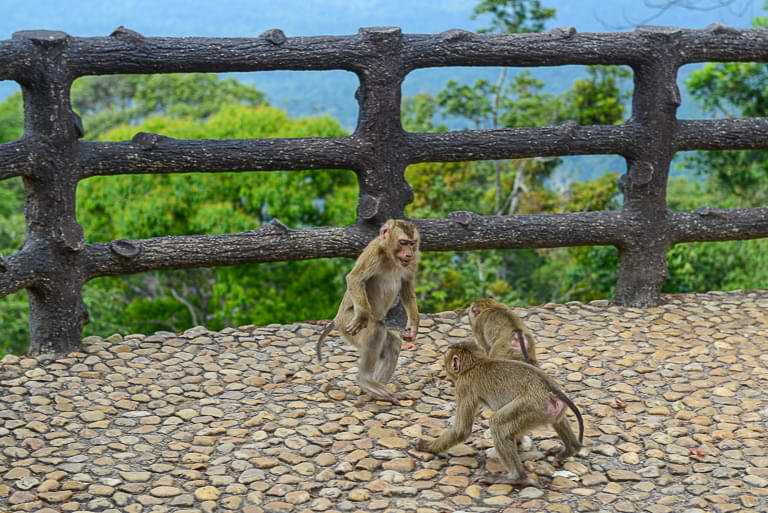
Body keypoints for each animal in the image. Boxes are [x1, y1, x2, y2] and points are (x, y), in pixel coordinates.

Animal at [315, 219, 420, 404]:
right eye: (403, 242)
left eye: (412, 243)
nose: (408, 253)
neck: (391, 257)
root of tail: (337, 319)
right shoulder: (373, 252)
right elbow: (355, 279)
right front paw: (363, 316)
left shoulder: (411, 262)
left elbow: (407, 287)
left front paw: (413, 324)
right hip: (346, 322)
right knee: (376, 329)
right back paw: (366, 381)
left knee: (392, 344)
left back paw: (375, 392)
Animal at [415, 341, 583, 487]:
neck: (476, 363)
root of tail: (550, 388)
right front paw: (519, 442)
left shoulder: (463, 385)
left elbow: (461, 430)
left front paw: (427, 447)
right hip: (550, 409)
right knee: (558, 421)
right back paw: (571, 448)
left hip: (532, 406)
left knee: (496, 423)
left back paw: (517, 478)